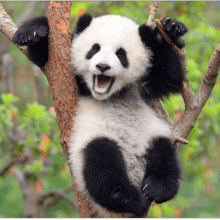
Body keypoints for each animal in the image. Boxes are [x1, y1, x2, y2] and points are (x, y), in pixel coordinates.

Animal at [13, 13, 189, 217]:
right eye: (94, 49)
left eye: (121, 54)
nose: (103, 66)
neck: (112, 95)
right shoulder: (73, 79)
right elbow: (47, 58)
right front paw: (33, 32)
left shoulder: (145, 85)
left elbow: (170, 76)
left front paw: (171, 29)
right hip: (92, 141)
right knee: (102, 163)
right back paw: (129, 200)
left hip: (150, 137)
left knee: (164, 157)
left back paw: (156, 188)